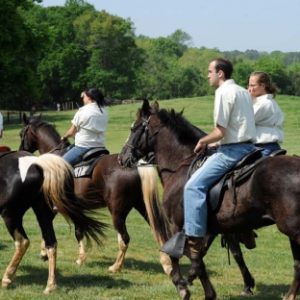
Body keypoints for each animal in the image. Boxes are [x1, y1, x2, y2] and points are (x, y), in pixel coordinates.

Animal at [0, 150, 106, 292]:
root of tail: (38, 163)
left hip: (11, 214)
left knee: (22, 242)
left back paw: (7, 278)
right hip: (41, 211)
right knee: (51, 242)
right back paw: (50, 285)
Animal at [18, 113, 172, 276]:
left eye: (21, 133)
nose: (21, 150)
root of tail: (134, 165)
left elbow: (70, 230)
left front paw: (76, 258)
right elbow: (73, 230)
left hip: (117, 212)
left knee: (124, 239)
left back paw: (116, 266)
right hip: (143, 206)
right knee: (158, 231)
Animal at [118, 100, 300, 300]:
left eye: (134, 128)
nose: (122, 157)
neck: (181, 165)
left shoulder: (179, 225)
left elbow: (184, 254)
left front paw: (183, 286)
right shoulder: (211, 229)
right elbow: (203, 255)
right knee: (298, 265)